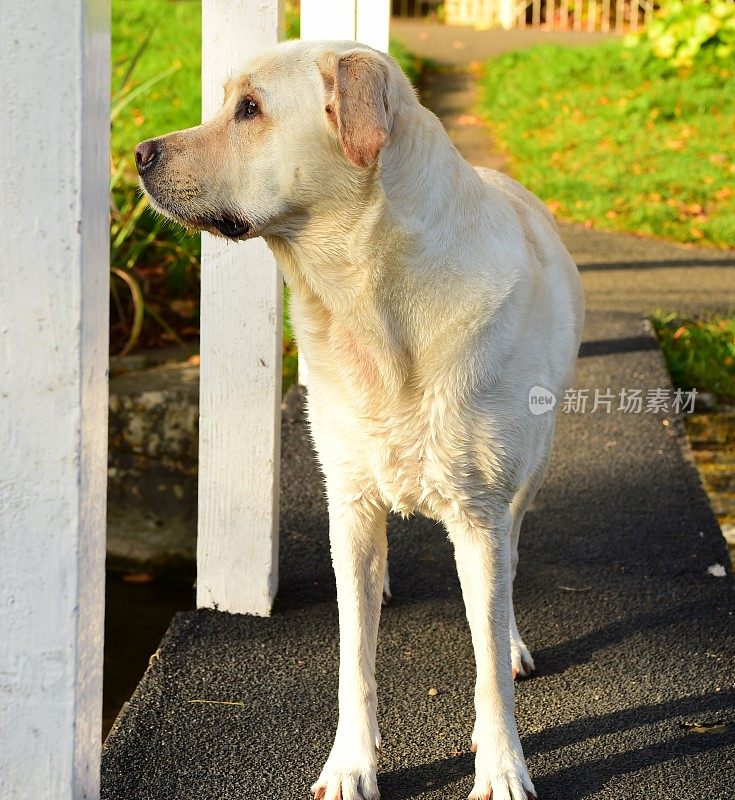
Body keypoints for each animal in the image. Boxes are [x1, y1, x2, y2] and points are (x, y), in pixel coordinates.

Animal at [137, 40, 588, 800]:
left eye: (250, 109)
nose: (139, 153)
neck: (371, 308)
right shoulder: (346, 498)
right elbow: (355, 656)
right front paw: (350, 763)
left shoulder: (480, 511)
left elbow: (488, 660)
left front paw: (500, 766)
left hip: (532, 467)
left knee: (511, 564)